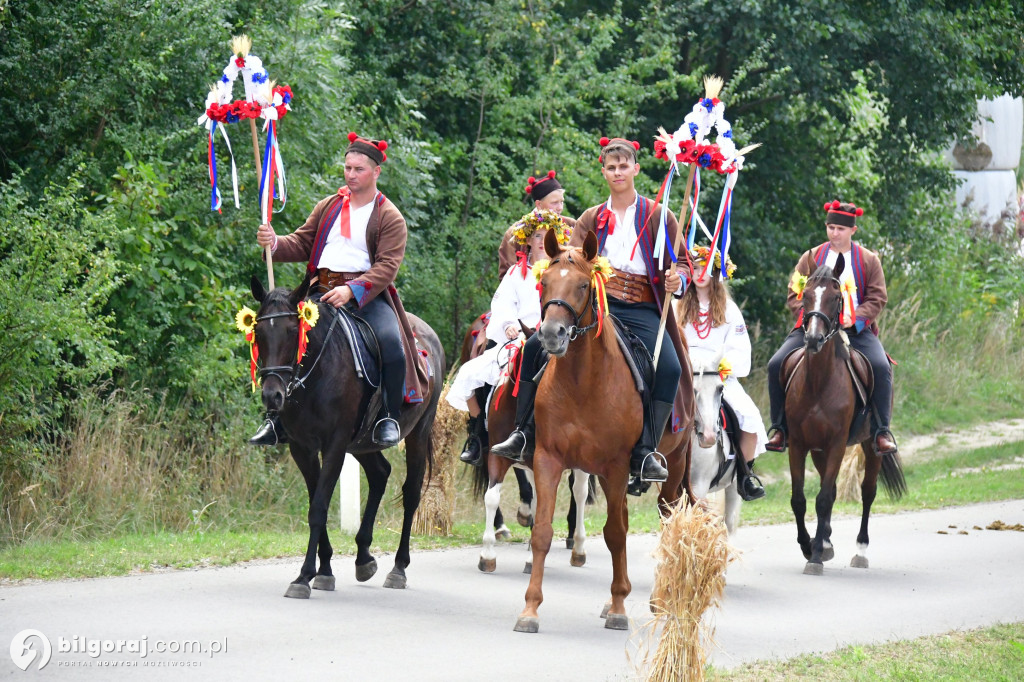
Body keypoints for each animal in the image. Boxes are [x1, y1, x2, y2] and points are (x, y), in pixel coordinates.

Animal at [248, 274, 444, 593]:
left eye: (293, 331)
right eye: (258, 331)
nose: (272, 396)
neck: (317, 373)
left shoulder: (335, 445)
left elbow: (318, 508)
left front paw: (303, 576)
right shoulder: (302, 449)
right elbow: (316, 505)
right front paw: (324, 570)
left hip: (417, 432)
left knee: (412, 493)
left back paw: (398, 568)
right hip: (362, 443)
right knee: (380, 473)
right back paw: (364, 557)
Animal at [516, 229, 692, 630]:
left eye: (583, 284)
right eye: (545, 282)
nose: (552, 335)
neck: (582, 381)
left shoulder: (615, 465)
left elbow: (614, 533)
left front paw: (619, 609)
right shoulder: (548, 458)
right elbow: (542, 532)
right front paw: (530, 609)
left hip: (672, 466)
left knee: (665, 520)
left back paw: (657, 599)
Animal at [782, 254, 905, 573]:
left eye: (836, 297)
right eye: (805, 295)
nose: (813, 339)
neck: (818, 382)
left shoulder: (837, 443)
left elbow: (824, 499)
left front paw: (813, 557)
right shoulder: (799, 444)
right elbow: (799, 499)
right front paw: (809, 545)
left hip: (871, 446)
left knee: (867, 492)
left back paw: (860, 550)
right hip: (819, 450)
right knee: (835, 489)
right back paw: (824, 540)